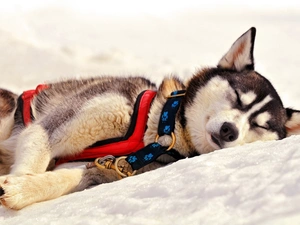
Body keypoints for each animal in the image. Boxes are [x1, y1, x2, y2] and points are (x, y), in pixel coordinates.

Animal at [0, 27, 300, 209]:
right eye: (238, 96)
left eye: (260, 125)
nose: (229, 131)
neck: (157, 131)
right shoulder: (55, 126)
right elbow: (35, 153)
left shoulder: (109, 166)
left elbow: (63, 178)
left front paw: (22, 189)